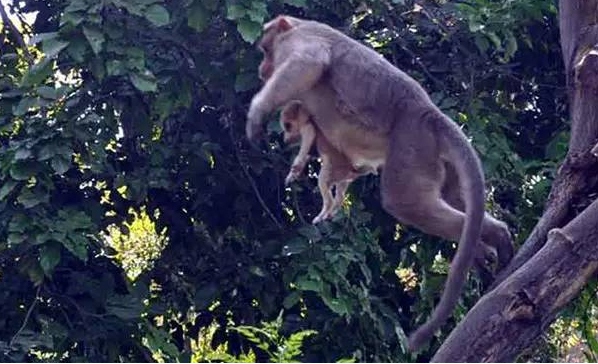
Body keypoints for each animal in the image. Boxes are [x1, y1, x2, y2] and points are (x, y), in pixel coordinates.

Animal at [246, 15, 512, 352]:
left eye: (266, 50)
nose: (262, 69)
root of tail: (431, 115)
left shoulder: (302, 40)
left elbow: (311, 61)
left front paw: (257, 113)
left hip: (411, 143)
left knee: (405, 201)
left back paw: (496, 237)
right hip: (437, 159)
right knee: (456, 201)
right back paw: (482, 248)